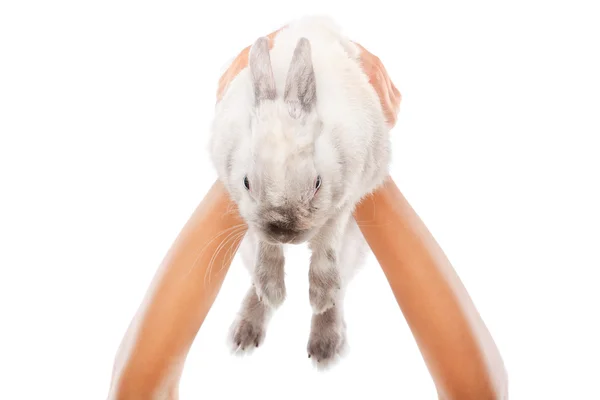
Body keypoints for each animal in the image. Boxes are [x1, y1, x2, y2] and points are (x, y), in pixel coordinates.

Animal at [209, 15, 392, 366]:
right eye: (246, 182)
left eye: (317, 183)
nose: (284, 230)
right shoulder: (253, 222)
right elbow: (267, 251)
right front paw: (273, 292)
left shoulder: (341, 204)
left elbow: (325, 254)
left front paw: (320, 300)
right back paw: (246, 331)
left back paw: (325, 344)